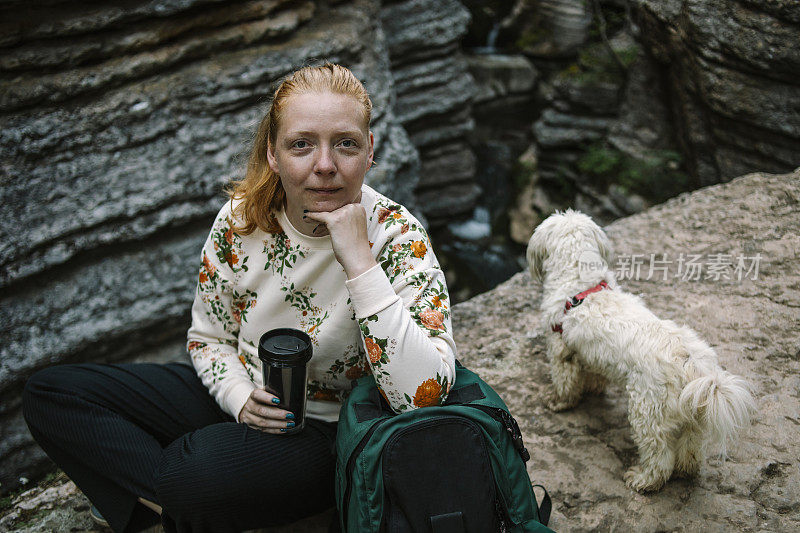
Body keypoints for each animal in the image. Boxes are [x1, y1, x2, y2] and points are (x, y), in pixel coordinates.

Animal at [528, 210, 752, 492]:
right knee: (690, 448)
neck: (581, 286)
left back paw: (643, 480)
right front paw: (593, 388)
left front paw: (557, 401)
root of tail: (692, 366)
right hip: (694, 417)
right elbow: (594, 374)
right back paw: (684, 471)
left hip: (647, 411)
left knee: (658, 454)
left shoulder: (561, 351)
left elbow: (565, 383)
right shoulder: (590, 352)